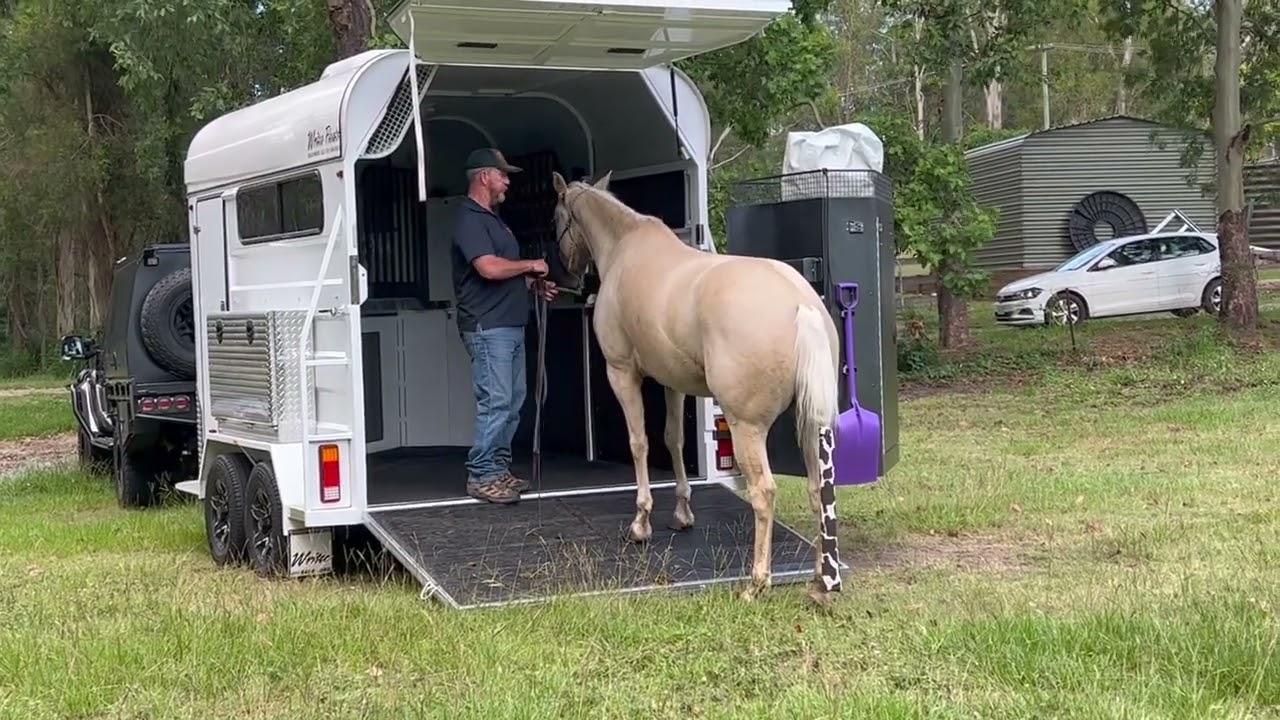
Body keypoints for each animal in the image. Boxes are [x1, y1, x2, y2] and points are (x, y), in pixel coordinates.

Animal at [550, 171, 844, 605]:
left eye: (557, 218)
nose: (567, 272)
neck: (624, 248)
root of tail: (800, 303)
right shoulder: (672, 382)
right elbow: (674, 440)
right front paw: (682, 514)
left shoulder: (622, 373)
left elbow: (640, 443)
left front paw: (641, 523)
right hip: (810, 424)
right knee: (817, 490)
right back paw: (822, 580)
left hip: (746, 427)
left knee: (764, 492)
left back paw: (757, 583)